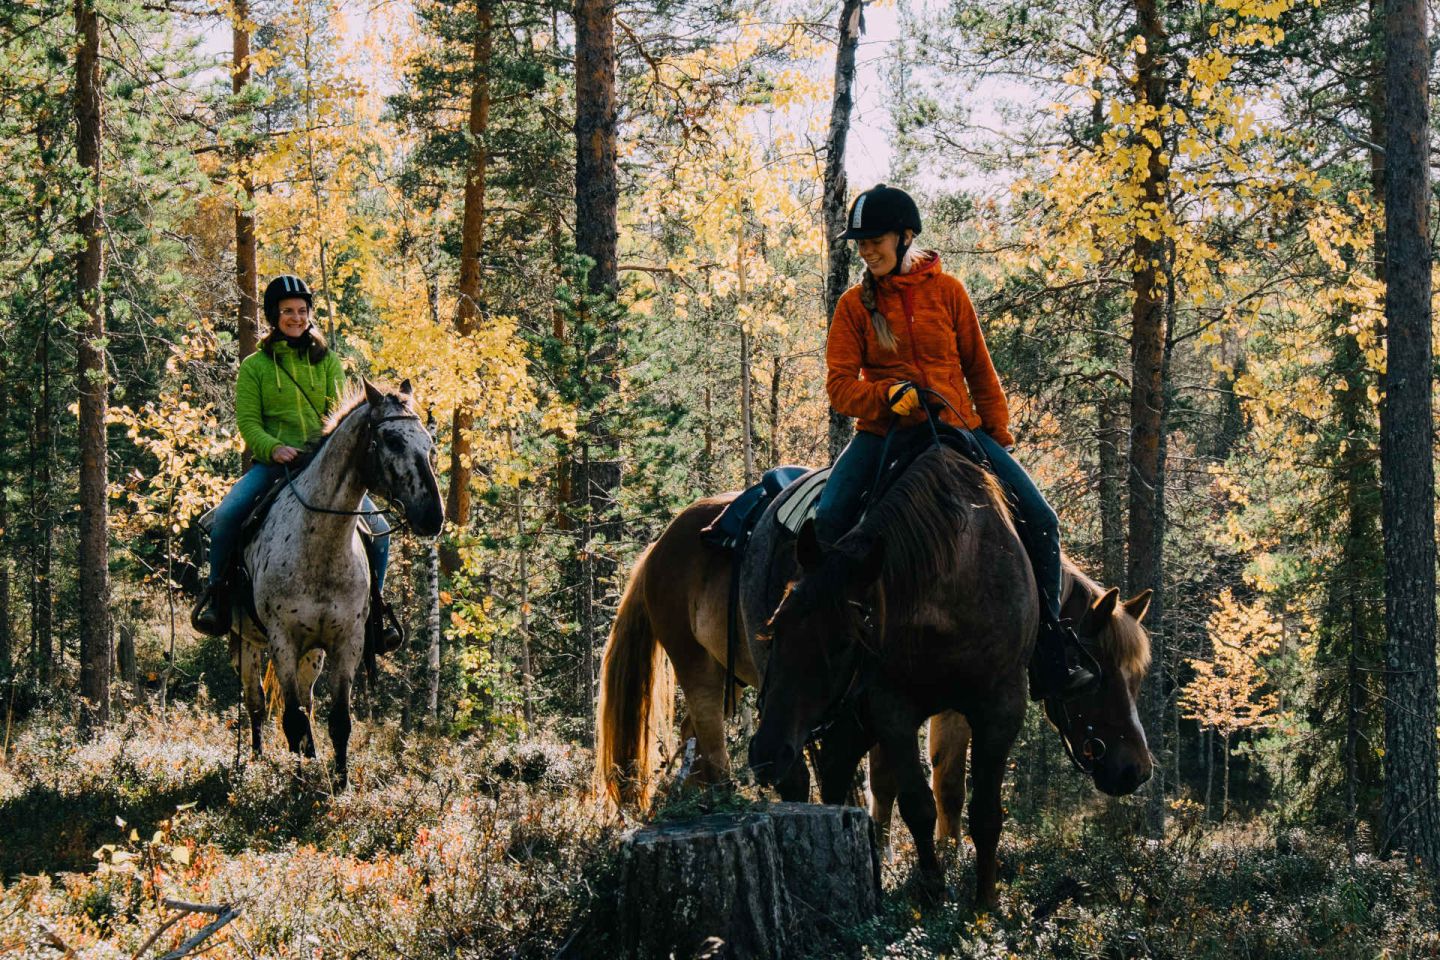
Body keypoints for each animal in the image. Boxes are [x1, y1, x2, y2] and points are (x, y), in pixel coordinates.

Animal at [748, 446, 1152, 903]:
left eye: (1136, 679)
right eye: (775, 627)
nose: (1136, 770)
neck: (953, 579)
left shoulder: (996, 709)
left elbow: (982, 810)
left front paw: (983, 902)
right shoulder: (892, 711)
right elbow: (918, 805)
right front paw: (932, 893)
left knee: (835, 776)